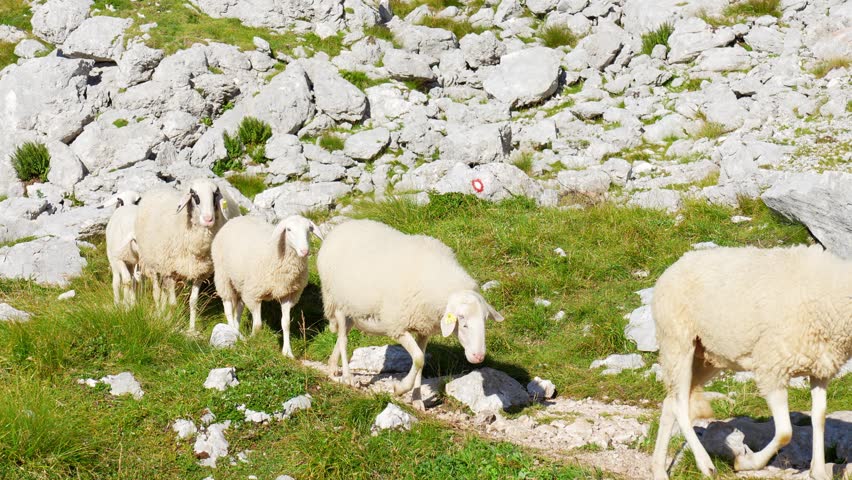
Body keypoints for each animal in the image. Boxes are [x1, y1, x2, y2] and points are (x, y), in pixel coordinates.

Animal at [134, 178, 240, 332]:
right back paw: (159, 313)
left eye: (215, 194)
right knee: (157, 292)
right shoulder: (170, 270)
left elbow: (193, 302)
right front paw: (170, 325)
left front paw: (191, 329)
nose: (208, 219)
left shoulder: (199, 273)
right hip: (152, 262)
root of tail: (158, 188)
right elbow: (173, 303)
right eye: (195, 196)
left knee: (164, 293)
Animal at [211, 215, 323, 357]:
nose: (304, 251)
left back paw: (236, 329)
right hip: (223, 275)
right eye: (289, 229)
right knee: (228, 309)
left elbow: (286, 323)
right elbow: (258, 325)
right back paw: (238, 334)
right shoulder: (253, 294)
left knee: (239, 309)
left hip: (241, 283)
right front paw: (253, 341)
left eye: (309, 229)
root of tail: (236, 218)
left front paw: (287, 352)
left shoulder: (288, 294)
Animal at [316, 219, 504, 408]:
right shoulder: (397, 326)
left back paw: (332, 366)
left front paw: (417, 399)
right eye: (462, 321)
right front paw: (400, 389)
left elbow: (420, 363)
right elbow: (419, 358)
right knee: (343, 339)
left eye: (485, 321)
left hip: (352, 311)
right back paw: (348, 376)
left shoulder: (424, 328)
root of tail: (342, 226)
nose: (478, 357)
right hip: (337, 302)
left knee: (342, 335)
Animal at [651, 244, 852, 480]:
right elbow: (785, 432)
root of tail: (675, 265)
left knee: (670, 402)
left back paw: (659, 469)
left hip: (706, 356)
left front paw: (818, 471)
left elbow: (819, 418)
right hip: (677, 340)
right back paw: (705, 464)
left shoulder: (820, 369)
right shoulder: (772, 367)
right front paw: (746, 462)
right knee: (680, 405)